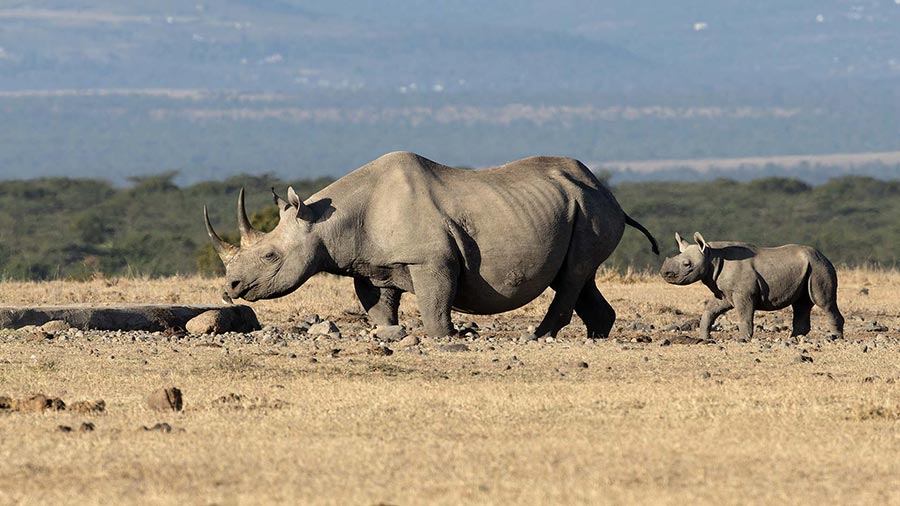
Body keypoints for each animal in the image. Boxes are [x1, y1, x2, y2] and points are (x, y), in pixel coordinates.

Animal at [204, 151, 659, 338]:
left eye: (270, 256)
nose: (231, 288)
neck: (326, 221)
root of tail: (610, 194)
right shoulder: (371, 264)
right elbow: (377, 306)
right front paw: (389, 332)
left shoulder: (431, 260)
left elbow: (435, 304)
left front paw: (444, 337)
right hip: (576, 206)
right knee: (578, 276)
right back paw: (595, 336)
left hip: (592, 207)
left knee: (574, 275)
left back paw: (539, 338)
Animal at [659, 232, 844, 340]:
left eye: (687, 265)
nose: (665, 273)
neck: (712, 256)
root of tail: (824, 256)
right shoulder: (724, 293)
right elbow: (710, 311)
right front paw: (704, 338)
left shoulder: (743, 293)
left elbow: (744, 315)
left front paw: (744, 339)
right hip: (808, 268)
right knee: (801, 305)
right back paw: (794, 339)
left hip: (819, 266)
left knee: (823, 302)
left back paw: (835, 338)